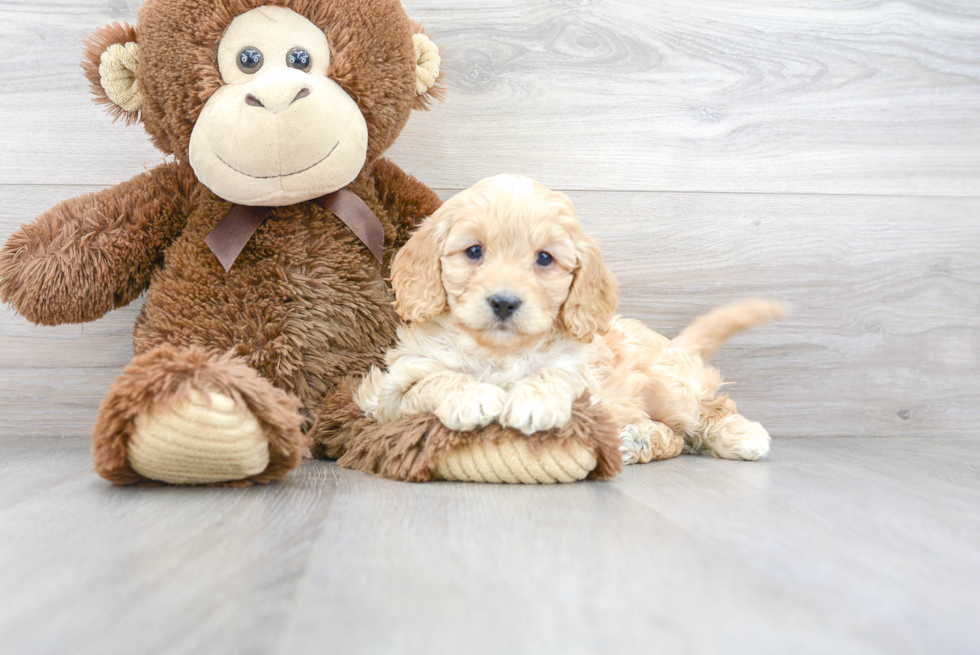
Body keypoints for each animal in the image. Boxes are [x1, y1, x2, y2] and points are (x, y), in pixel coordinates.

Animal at [358, 174, 780, 462]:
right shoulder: (390, 395)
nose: (504, 303)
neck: (498, 352)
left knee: (708, 408)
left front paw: (532, 402)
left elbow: (555, 375)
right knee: (675, 438)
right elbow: (436, 380)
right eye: (474, 251)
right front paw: (474, 397)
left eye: (544, 258)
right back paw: (636, 439)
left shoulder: (583, 376)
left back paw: (741, 435)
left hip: (669, 385)